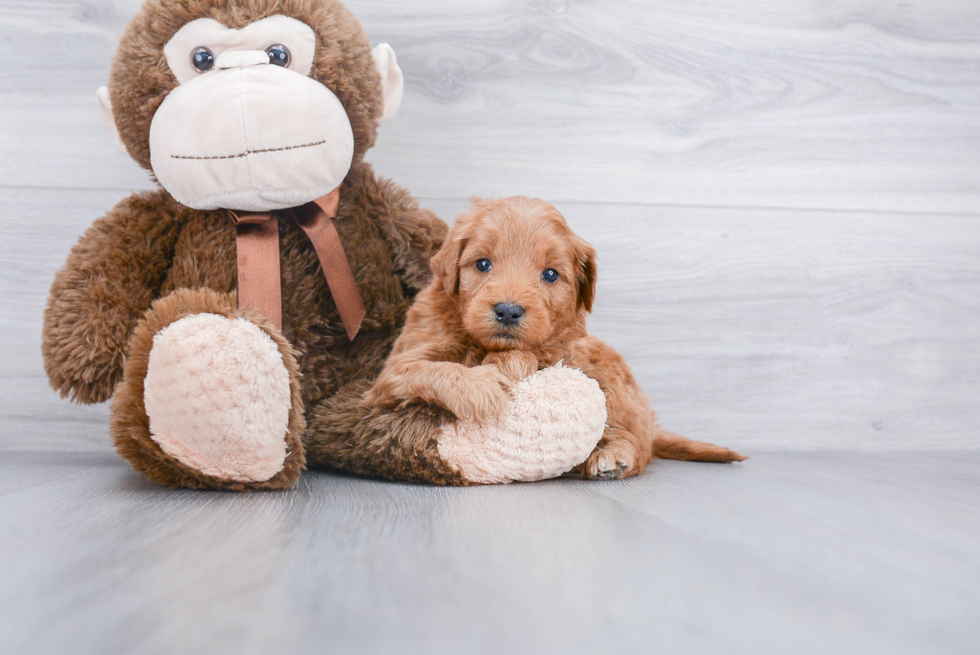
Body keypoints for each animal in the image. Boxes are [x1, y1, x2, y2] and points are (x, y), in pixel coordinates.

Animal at [372, 197, 748, 480]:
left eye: (550, 274)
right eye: (482, 264)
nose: (508, 311)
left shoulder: (565, 350)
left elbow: (534, 354)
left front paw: (508, 363)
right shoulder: (390, 373)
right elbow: (427, 369)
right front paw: (478, 386)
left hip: (611, 381)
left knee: (640, 446)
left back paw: (614, 457)